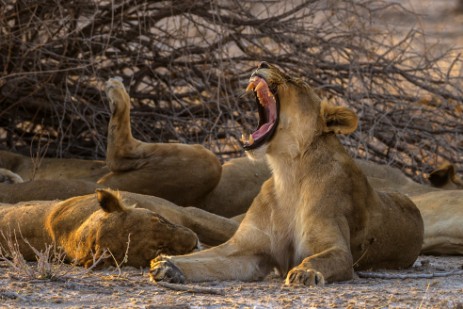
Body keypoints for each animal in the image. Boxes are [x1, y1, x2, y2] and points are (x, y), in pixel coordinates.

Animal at [150, 61, 426, 286]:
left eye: (295, 82)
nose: (262, 62)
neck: (288, 173)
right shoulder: (247, 251)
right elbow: (206, 259)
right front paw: (168, 265)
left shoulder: (338, 250)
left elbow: (320, 259)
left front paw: (306, 273)